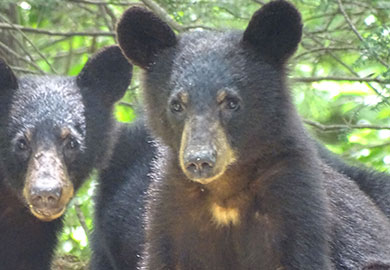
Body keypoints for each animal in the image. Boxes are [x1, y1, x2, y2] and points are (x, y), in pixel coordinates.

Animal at [116, 0, 390, 268]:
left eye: (231, 102)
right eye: (176, 104)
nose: (200, 160)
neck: (225, 189)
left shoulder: (295, 199)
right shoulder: (170, 209)